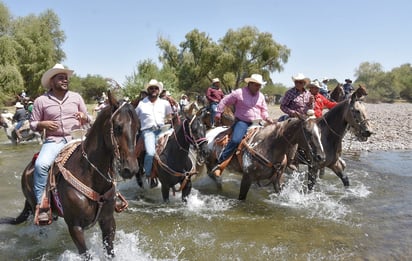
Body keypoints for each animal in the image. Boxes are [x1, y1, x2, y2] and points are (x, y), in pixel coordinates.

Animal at [0, 91, 140, 256]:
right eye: (118, 127)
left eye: (138, 127)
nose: (131, 169)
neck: (90, 176)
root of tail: (27, 170)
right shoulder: (75, 227)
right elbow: (85, 253)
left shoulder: (108, 221)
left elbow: (110, 251)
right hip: (37, 210)